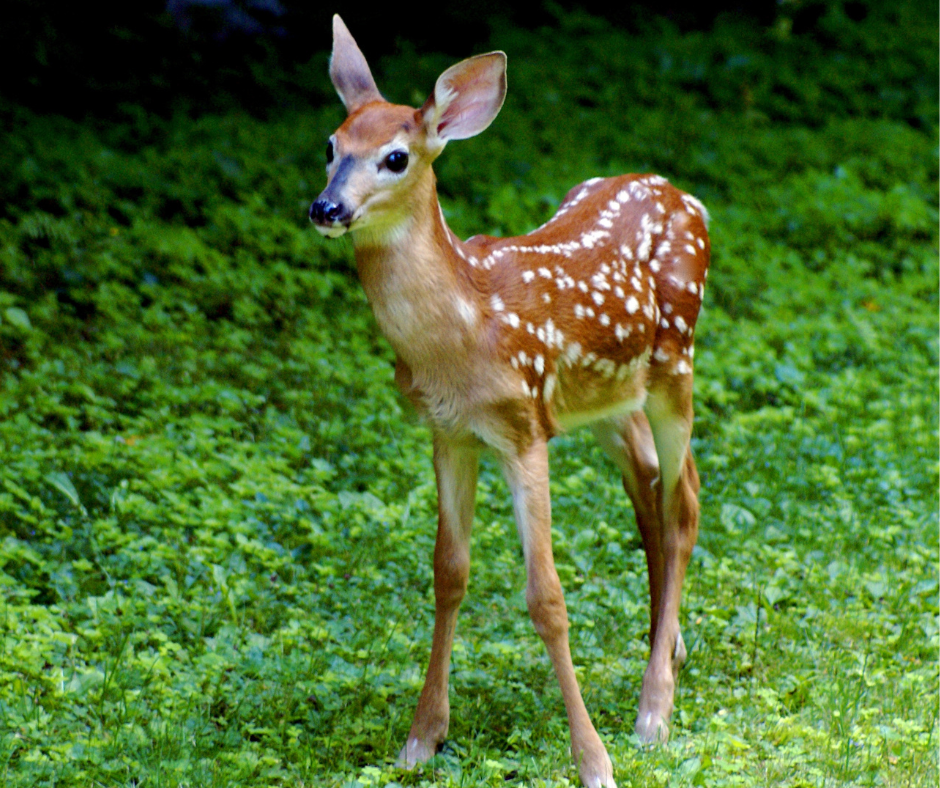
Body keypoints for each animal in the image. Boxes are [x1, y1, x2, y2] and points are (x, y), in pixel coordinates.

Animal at [309, 16, 709, 788]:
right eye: (332, 145)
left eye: (397, 157)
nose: (327, 207)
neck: (463, 332)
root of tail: (685, 194)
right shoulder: (449, 433)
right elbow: (448, 573)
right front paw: (421, 738)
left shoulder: (523, 429)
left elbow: (545, 597)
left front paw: (593, 760)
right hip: (610, 399)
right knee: (650, 488)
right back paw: (666, 648)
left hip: (676, 360)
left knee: (682, 504)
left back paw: (654, 710)